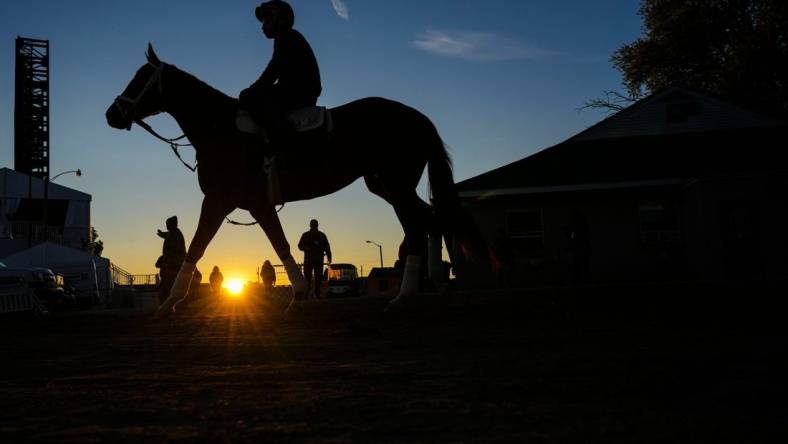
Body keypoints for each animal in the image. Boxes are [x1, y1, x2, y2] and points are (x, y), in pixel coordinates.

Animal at [107, 45, 490, 316]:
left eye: (141, 78)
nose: (112, 114)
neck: (223, 132)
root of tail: (416, 116)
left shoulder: (223, 201)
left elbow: (205, 246)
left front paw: (169, 301)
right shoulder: (244, 204)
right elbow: (276, 244)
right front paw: (300, 294)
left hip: (397, 185)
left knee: (416, 228)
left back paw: (405, 295)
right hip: (384, 185)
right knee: (431, 220)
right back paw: (435, 283)